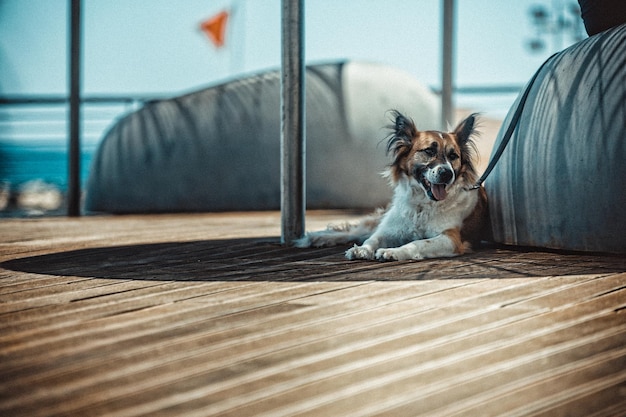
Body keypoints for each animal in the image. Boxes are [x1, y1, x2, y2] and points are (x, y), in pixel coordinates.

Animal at [294, 110, 488, 260]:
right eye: (429, 151)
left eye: (453, 156)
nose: (447, 174)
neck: (422, 205)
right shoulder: (389, 229)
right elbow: (373, 239)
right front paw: (362, 249)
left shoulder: (451, 238)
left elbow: (418, 242)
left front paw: (393, 252)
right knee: (357, 231)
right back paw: (317, 238)